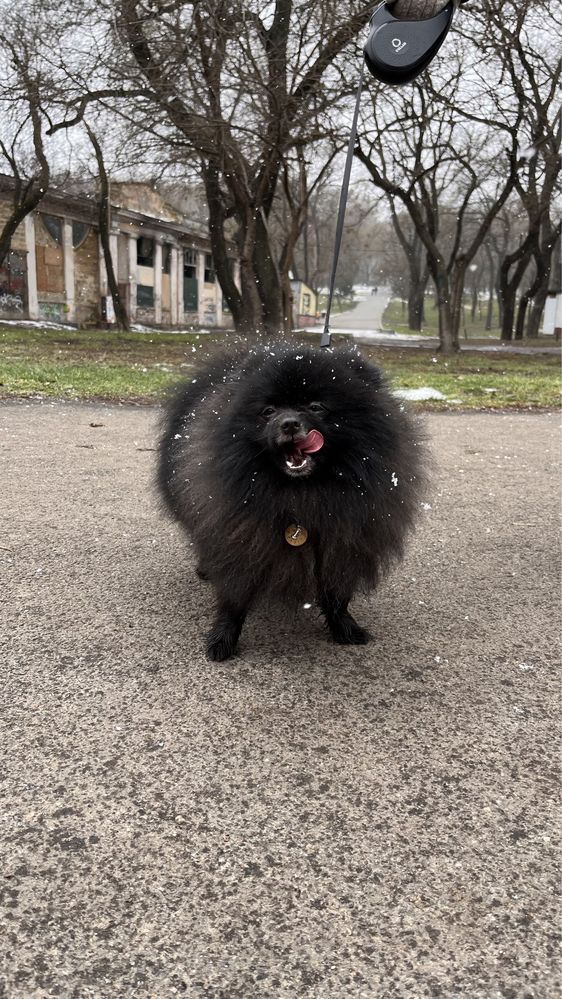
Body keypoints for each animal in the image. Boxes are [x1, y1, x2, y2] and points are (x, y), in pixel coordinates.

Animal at [158, 346, 424, 664]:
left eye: (316, 407)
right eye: (268, 411)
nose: (289, 423)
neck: (301, 493)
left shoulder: (343, 543)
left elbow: (337, 595)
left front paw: (344, 627)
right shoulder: (240, 540)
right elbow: (233, 598)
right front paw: (222, 639)